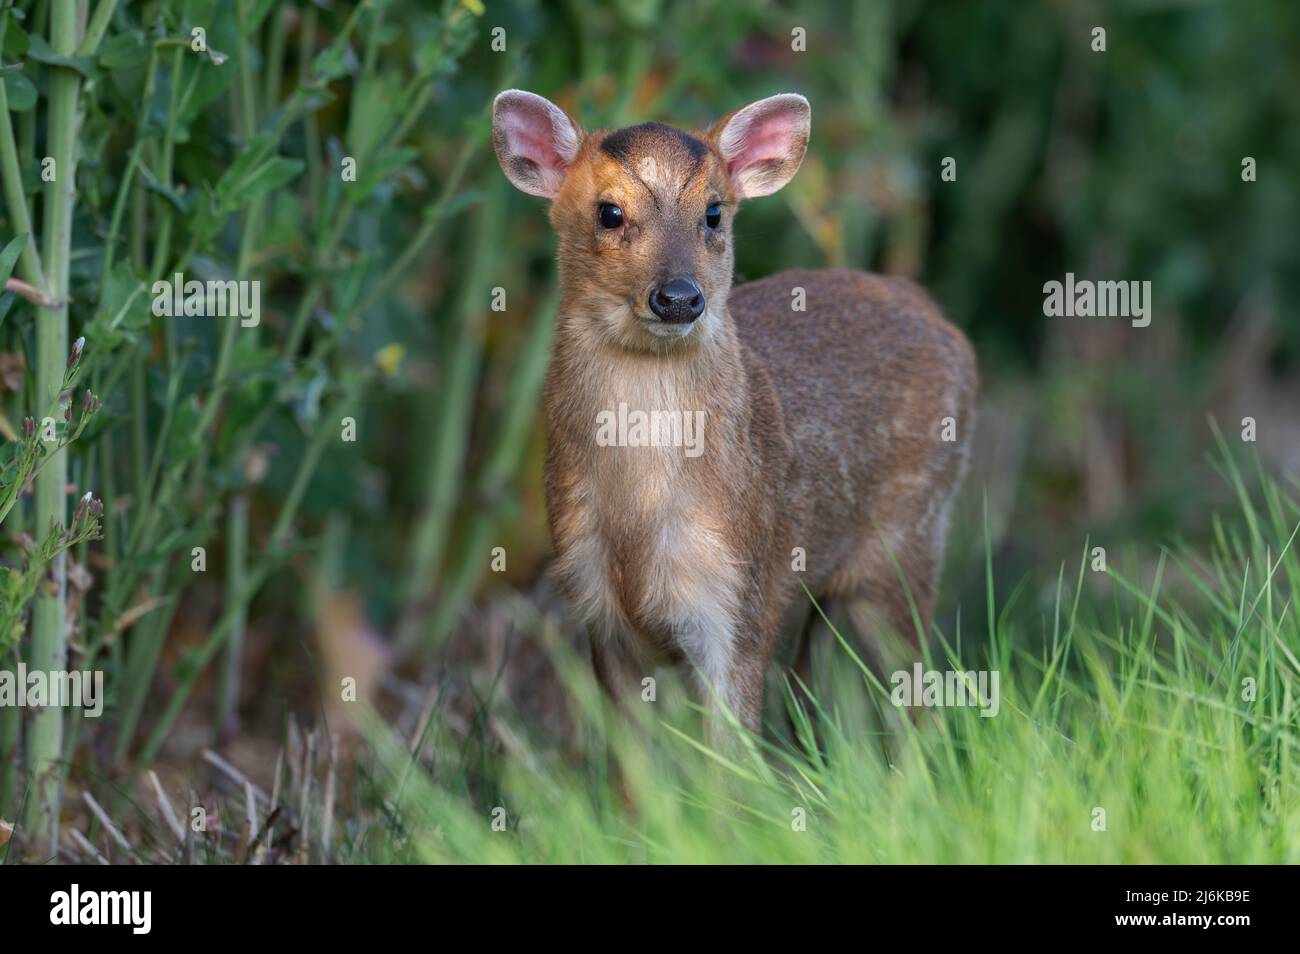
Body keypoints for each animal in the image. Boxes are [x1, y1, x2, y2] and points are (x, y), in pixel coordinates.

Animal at [491, 89, 977, 745]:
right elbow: (628, 765)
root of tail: (935, 312)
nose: (678, 297)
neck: (636, 518)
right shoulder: (597, 607)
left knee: (914, 694)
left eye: (714, 213)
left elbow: (731, 758)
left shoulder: (736, 596)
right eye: (609, 212)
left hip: (910, 538)